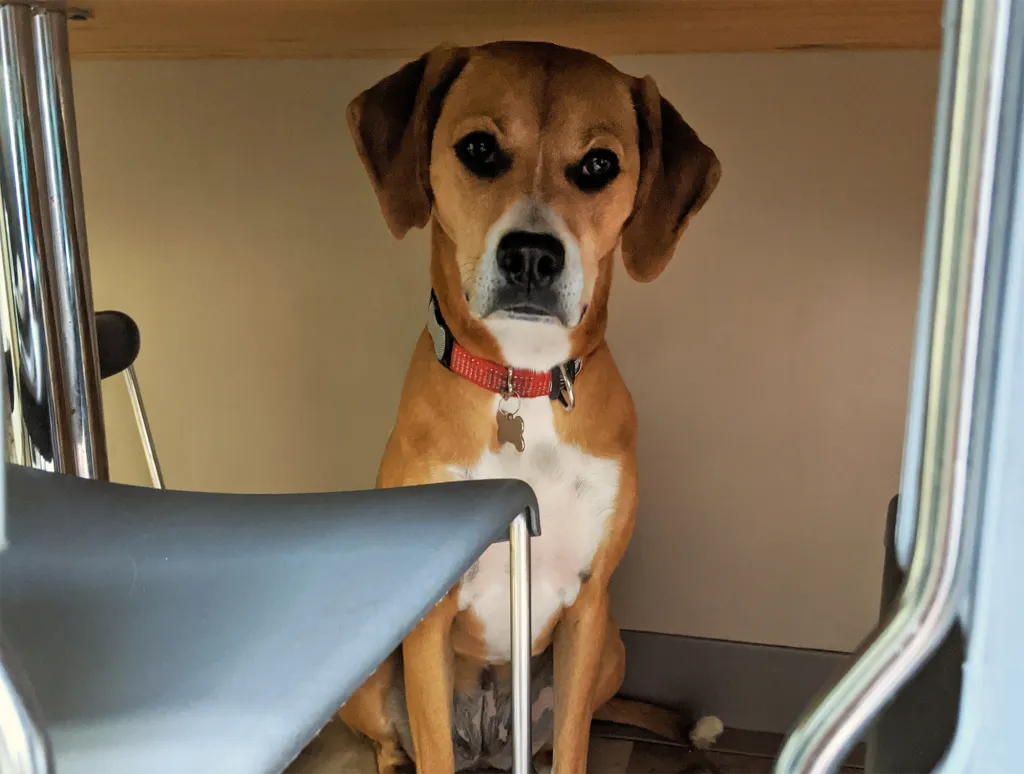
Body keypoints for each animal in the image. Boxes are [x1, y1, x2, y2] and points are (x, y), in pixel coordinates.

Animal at [335, 42, 720, 774]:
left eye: (599, 165)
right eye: (479, 148)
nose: (533, 255)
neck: (522, 378)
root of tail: (488, 739)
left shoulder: (588, 607)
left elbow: (572, 743)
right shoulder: (426, 621)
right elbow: (429, 747)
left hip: (613, 648)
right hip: (371, 669)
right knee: (391, 742)